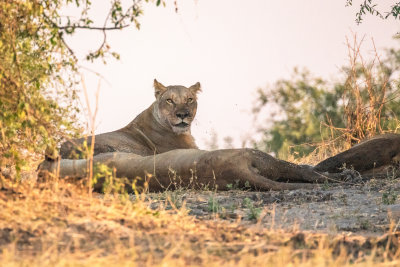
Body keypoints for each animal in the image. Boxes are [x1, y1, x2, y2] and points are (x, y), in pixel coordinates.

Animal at [39, 80, 400, 193]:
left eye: (190, 99)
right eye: (170, 99)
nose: (182, 115)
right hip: (253, 155)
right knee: (306, 171)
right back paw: (349, 176)